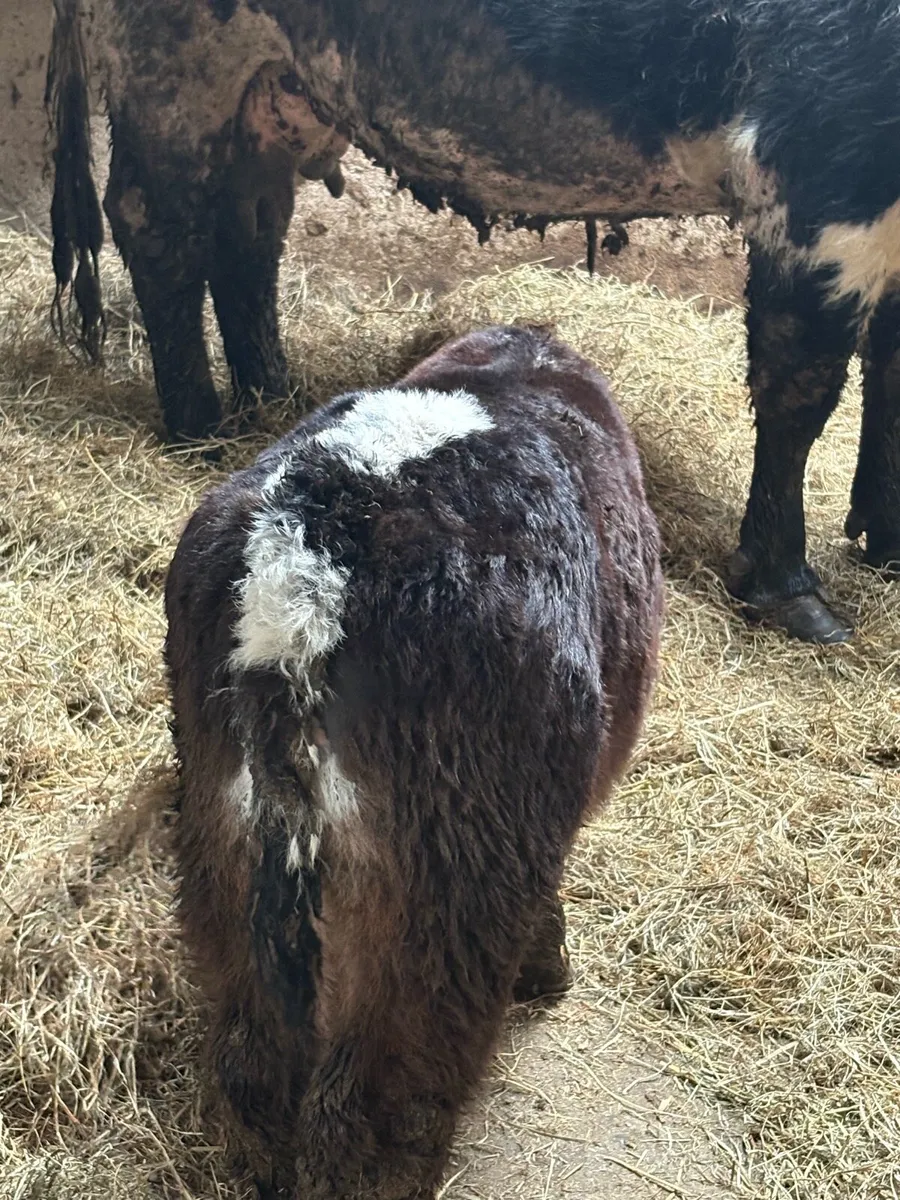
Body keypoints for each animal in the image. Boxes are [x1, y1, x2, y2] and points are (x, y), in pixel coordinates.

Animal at [48, 0, 900, 643]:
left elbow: (888, 367)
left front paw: (884, 537)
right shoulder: (821, 169)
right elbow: (801, 392)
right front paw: (791, 588)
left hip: (275, 93)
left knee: (249, 230)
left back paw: (271, 397)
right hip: (173, 65)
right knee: (159, 224)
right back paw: (199, 425)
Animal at [163, 323, 663, 1199]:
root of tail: (306, 562)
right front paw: (549, 968)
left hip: (220, 850)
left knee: (252, 1065)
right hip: (441, 897)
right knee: (368, 1115)